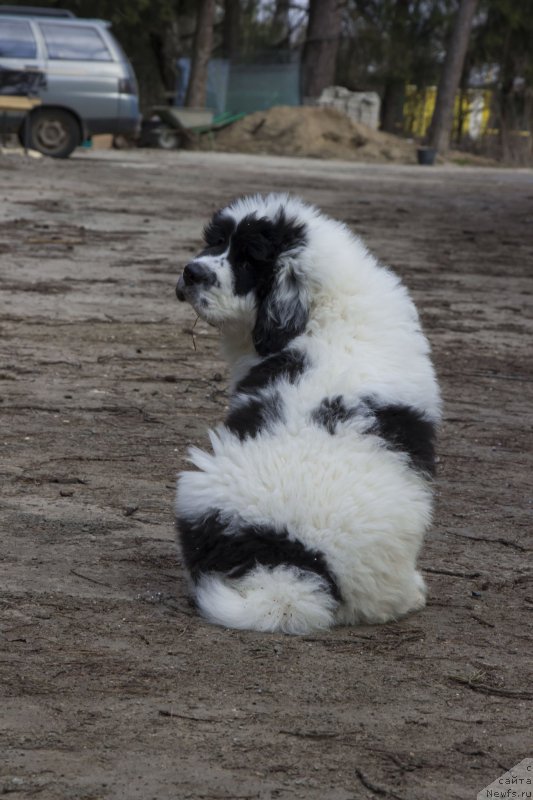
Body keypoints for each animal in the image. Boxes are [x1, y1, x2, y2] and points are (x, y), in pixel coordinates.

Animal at [175, 192, 440, 632]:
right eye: (217, 242)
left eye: (247, 262)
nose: (191, 272)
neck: (323, 308)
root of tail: (301, 566)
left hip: (197, 486)